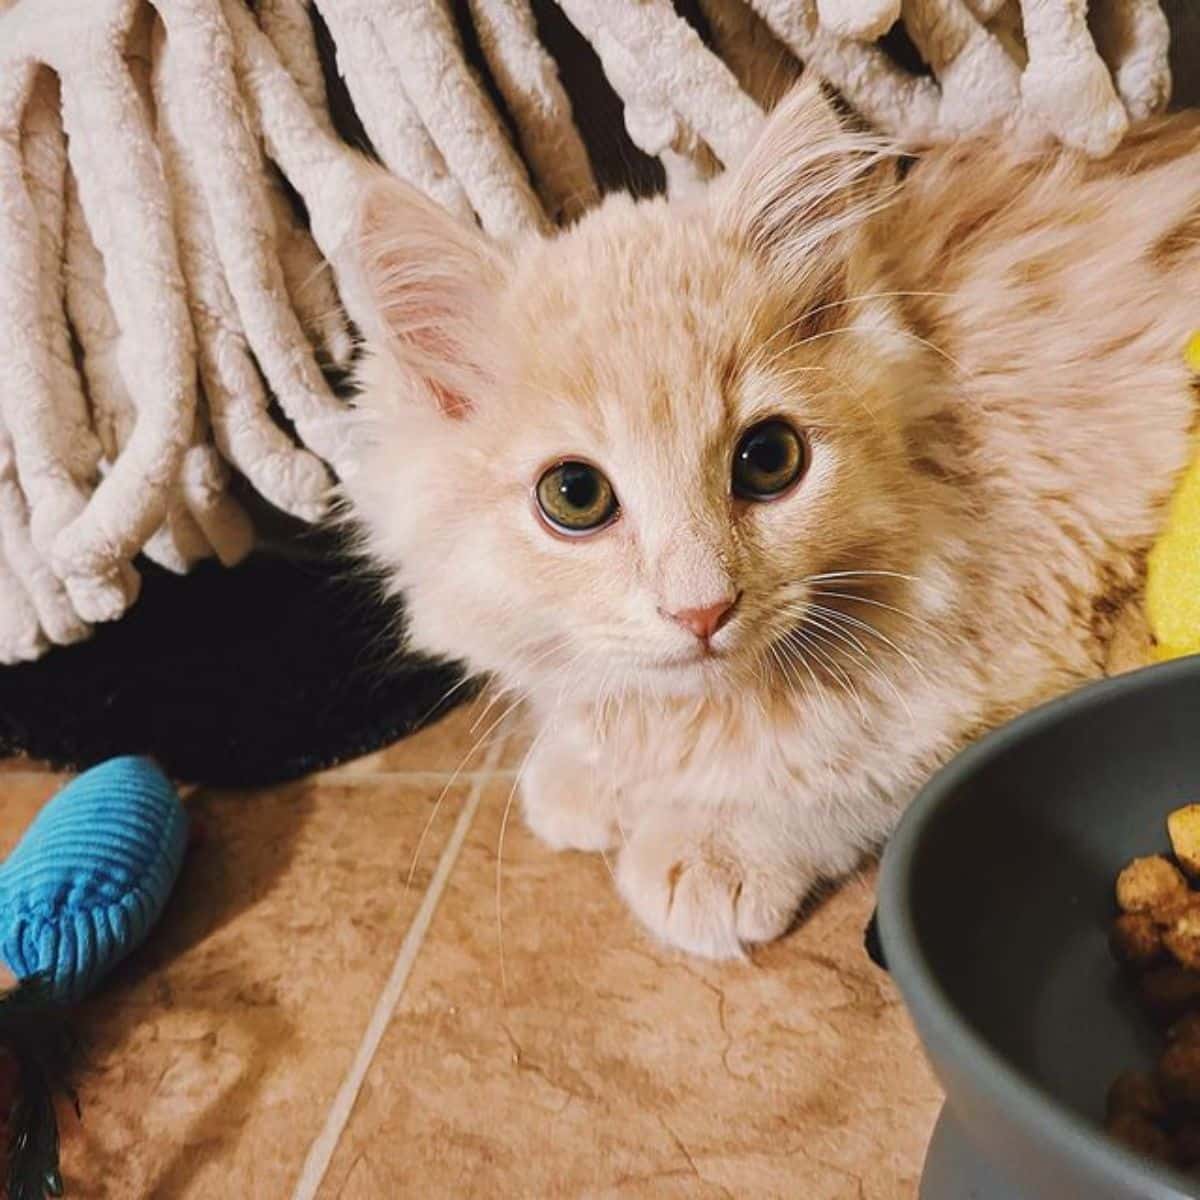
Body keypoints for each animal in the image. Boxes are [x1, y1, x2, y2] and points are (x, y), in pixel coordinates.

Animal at [345, 82, 1200, 955]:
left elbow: (855, 767)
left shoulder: (1040, 624)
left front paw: (714, 840)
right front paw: (589, 766)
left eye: (769, 459)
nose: (702, 610)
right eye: (574, 496)